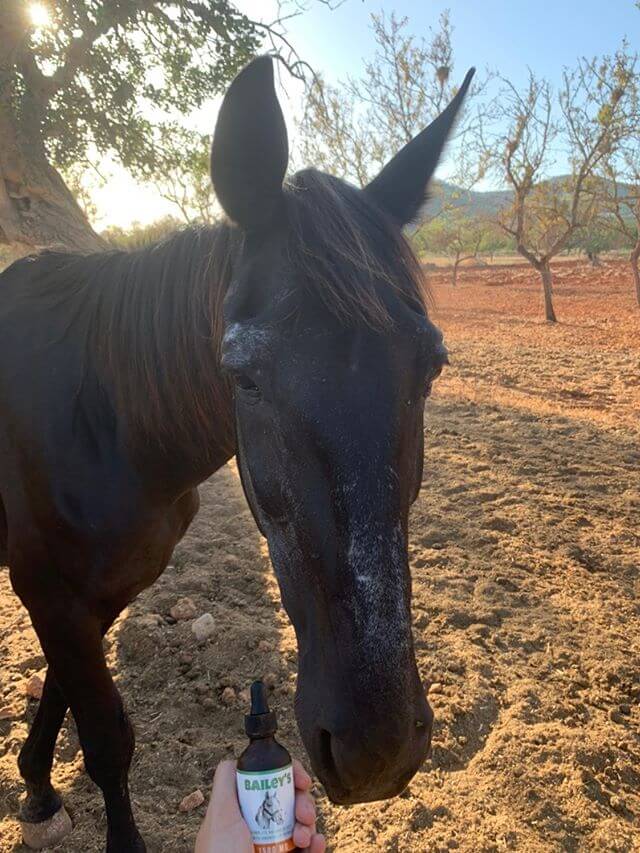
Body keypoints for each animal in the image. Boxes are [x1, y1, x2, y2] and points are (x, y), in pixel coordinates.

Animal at [0, 56, 470, 848]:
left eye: (431, 365)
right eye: (243, 376)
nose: (376, 749)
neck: (101, 418)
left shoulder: (93, 594)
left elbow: (65, 694)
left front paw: (35, 783)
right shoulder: (49, 590)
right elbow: (105, 739)